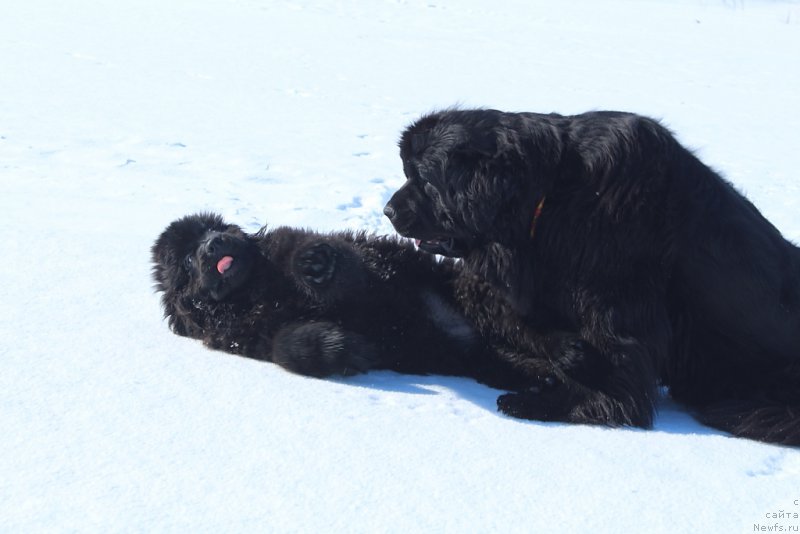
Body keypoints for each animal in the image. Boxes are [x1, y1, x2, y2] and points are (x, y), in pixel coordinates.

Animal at [384, 107, 796, 446]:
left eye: (424, 179)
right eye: (407, 173)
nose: (387, 210)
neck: (552, 196)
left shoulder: (614, 300)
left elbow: (614, 356)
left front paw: (557, 405)